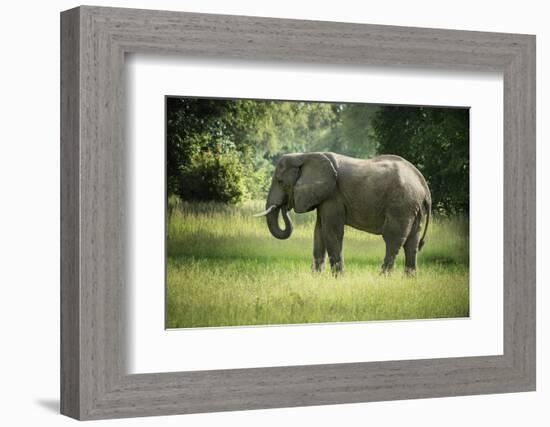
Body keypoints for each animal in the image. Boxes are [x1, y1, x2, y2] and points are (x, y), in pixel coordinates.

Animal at [254, 152, 432, 276]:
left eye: (279, 181)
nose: (284, 206)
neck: (304, 156)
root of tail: (423, 186)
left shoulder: (333, 196)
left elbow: (331, 232)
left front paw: (338, 278)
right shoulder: (324, 197)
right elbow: (319, 232)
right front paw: (315, 278)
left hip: (401, 205)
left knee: (393, 239)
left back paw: (382, 278)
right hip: (414, 209)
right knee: (412, 244)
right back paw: (409, 279)